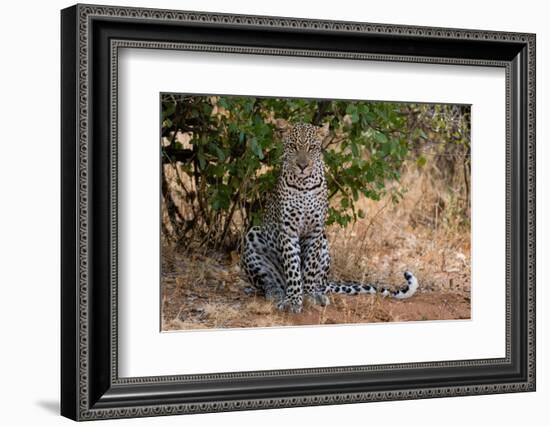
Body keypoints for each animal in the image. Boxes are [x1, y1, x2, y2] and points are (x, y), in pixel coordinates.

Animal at [242, 121, 418, 312]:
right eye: (293, 147)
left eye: (312, 148)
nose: (302, 166)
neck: (304, 185)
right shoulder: (288, 230)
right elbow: (293, 268)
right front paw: (294, 300)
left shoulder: (316, 230)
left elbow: (309, 267)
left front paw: (309, 295)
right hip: (253, 234)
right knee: (268, 282)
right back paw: (276, 292)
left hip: (325, 244)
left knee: (320, 282)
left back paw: (318, 293)